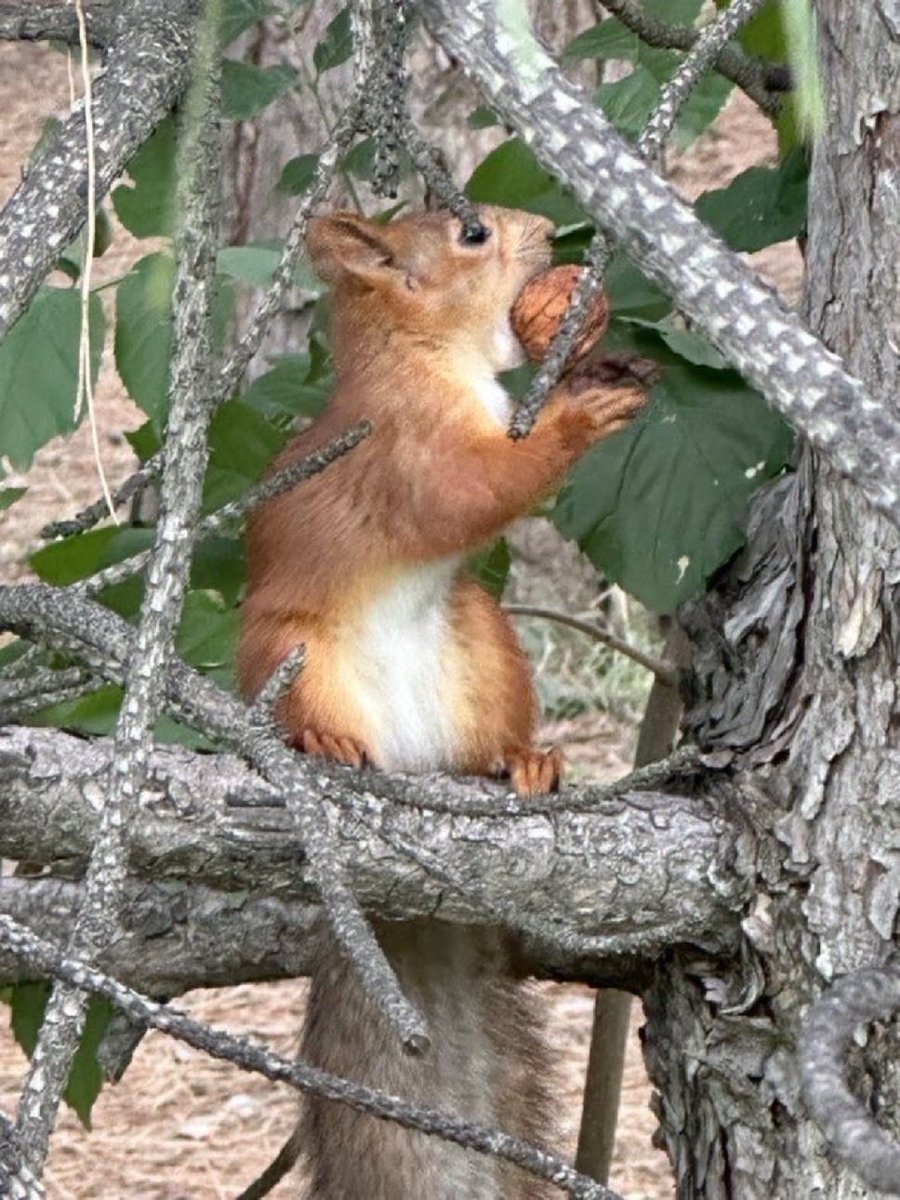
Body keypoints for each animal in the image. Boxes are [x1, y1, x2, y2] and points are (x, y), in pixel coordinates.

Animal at [237, 204, 648, 1198]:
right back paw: (323, 744)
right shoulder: (409, 452)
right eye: (471, 235)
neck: (430, 360)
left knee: (484, 743)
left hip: (484, 644)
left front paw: (600, 369)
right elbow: (477, 491)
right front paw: (581, 412)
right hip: (294, 656)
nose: (548, 228)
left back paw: (525, 760)